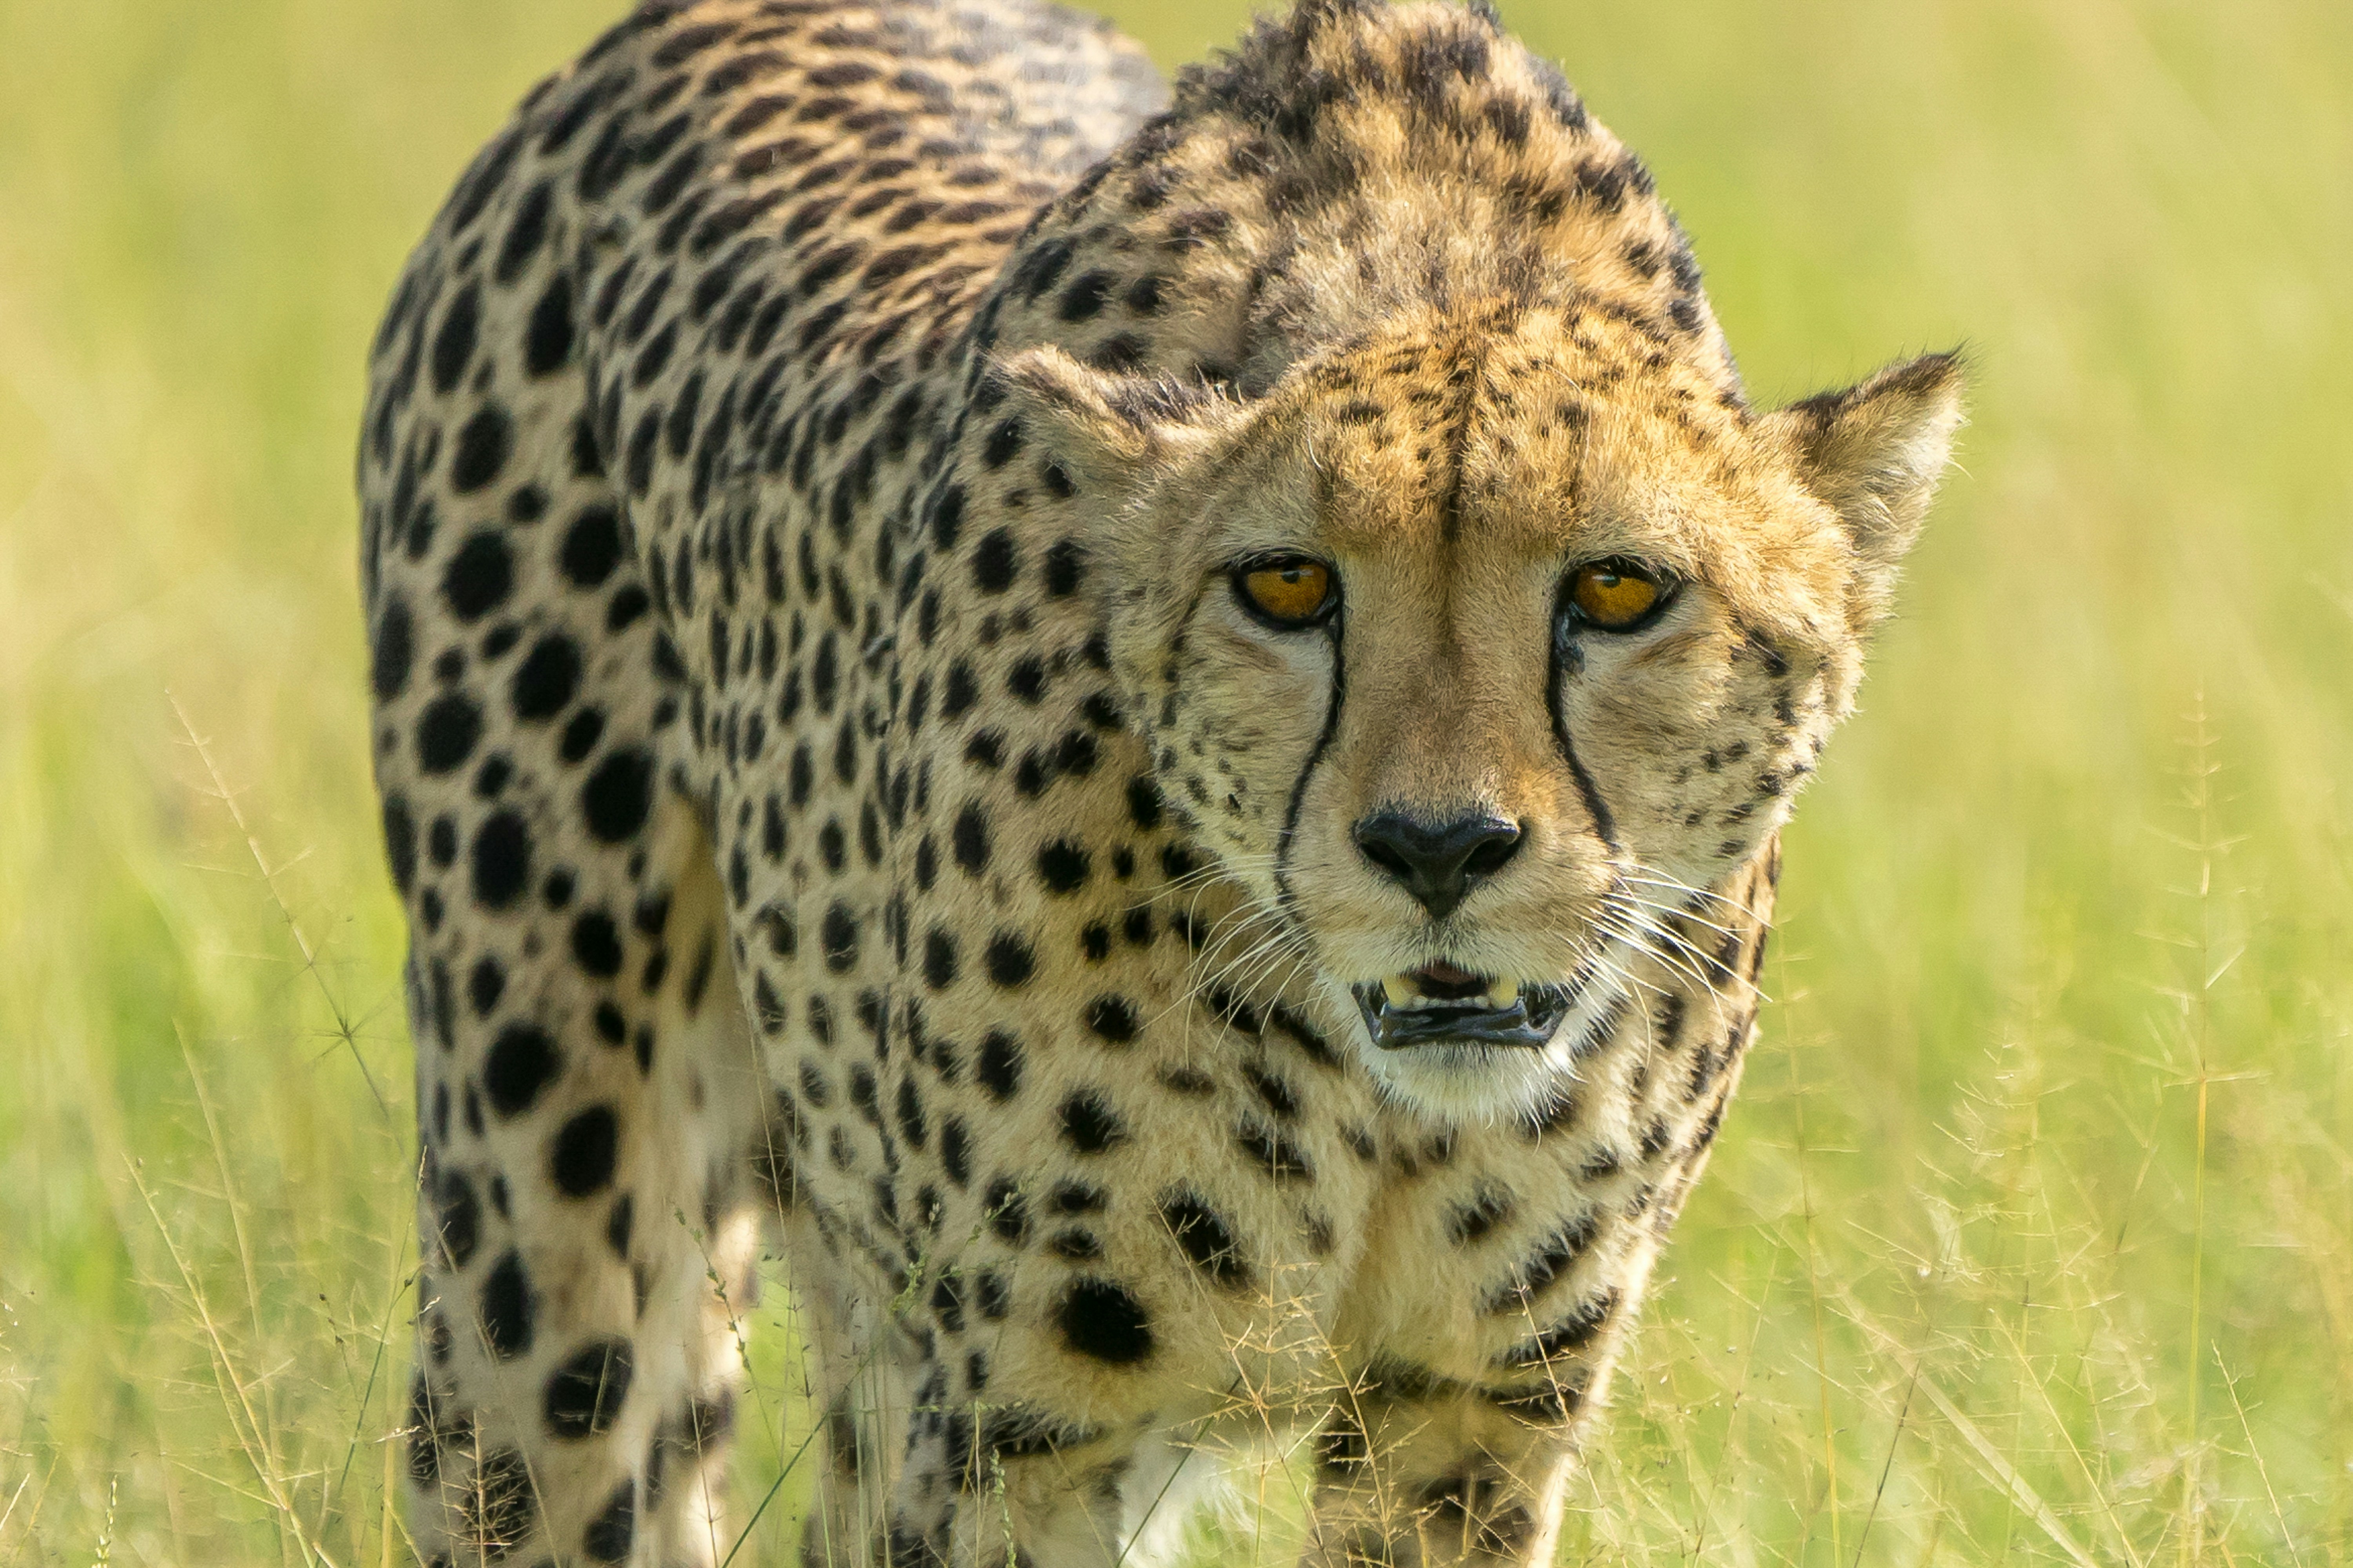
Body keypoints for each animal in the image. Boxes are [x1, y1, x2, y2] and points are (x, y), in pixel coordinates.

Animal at [357, 0, 1963, 1563]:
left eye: (1619, 590)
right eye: (1286, 584)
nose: (1436, 848)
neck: (1374, 1102)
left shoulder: (1467, 1418)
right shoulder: (1018, 1426)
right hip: (547, 1249)